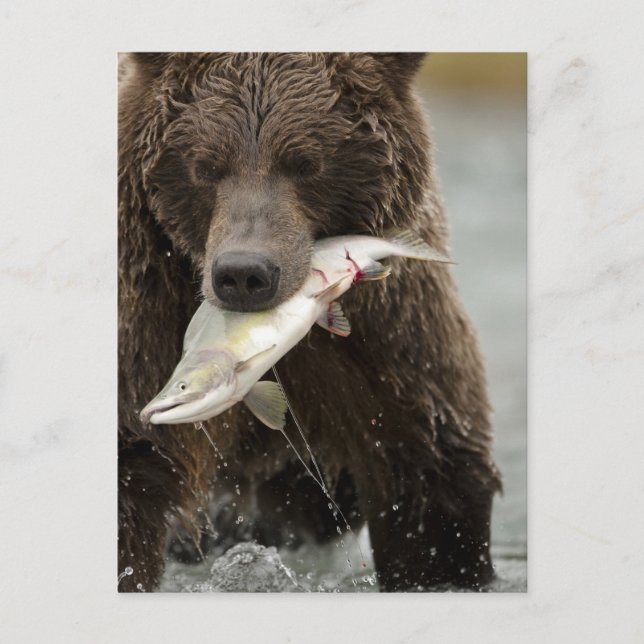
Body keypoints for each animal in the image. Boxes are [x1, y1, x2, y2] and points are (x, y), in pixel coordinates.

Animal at [118, 52, 501, 592]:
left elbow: (430, 473)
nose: (244, 273)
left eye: (305, 161)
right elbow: (133, 472)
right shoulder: (148, 307)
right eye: (206, 166)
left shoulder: (391, 336)